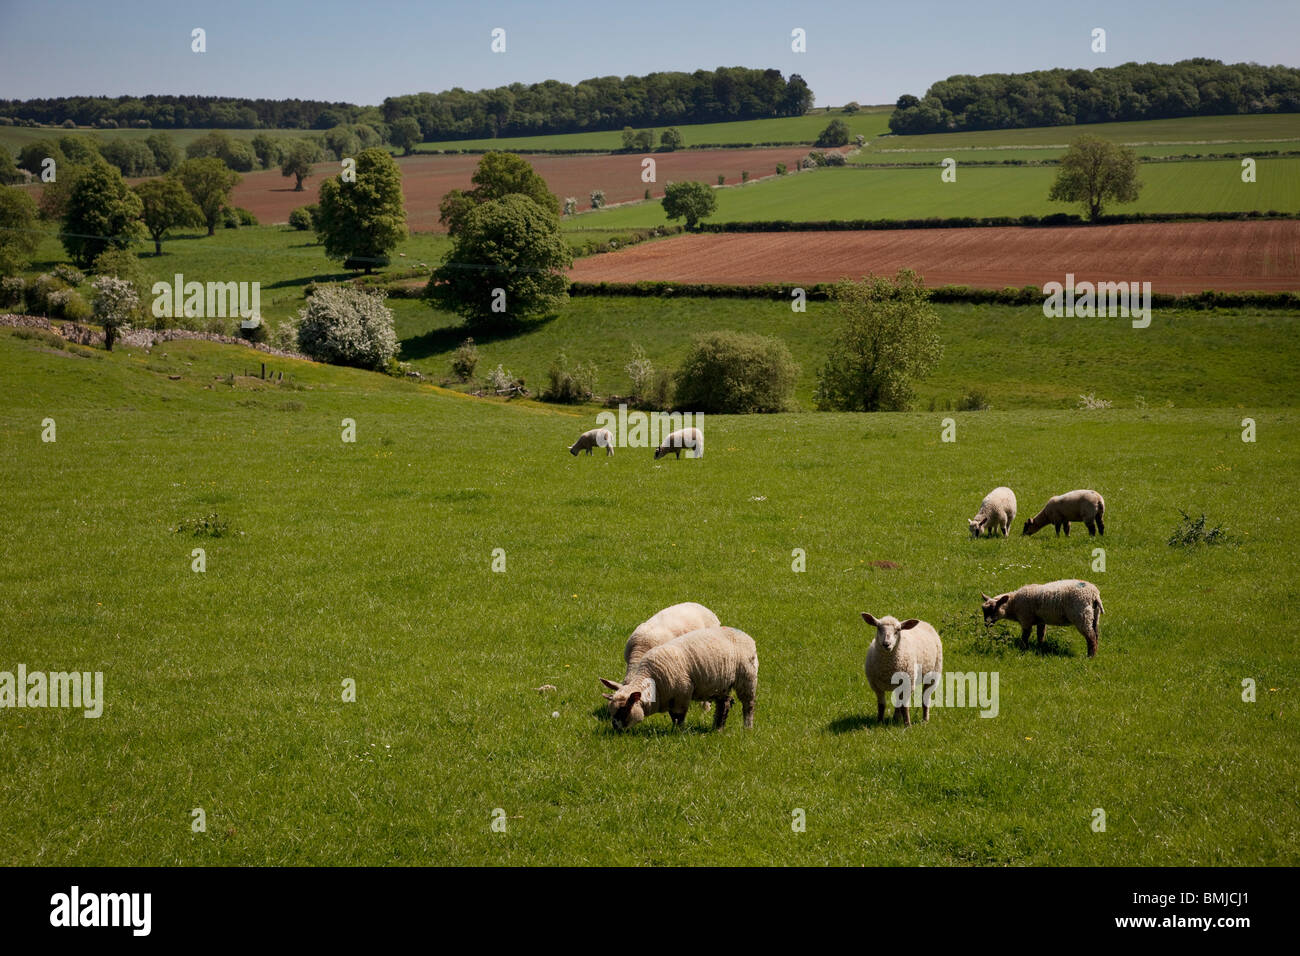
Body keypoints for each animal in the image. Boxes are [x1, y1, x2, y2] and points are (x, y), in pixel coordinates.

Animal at [600, 629, 759, 733]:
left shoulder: (682, 694)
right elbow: (673, 717)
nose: (615, 728)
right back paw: (717, 728)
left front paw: (679, 733)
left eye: (624, 709)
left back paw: (747, 728)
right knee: (723, 704)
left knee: (748, 705)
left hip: (747, 679)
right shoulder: (670, 698)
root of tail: (745, 635)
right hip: (721, 684)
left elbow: (679, 717)